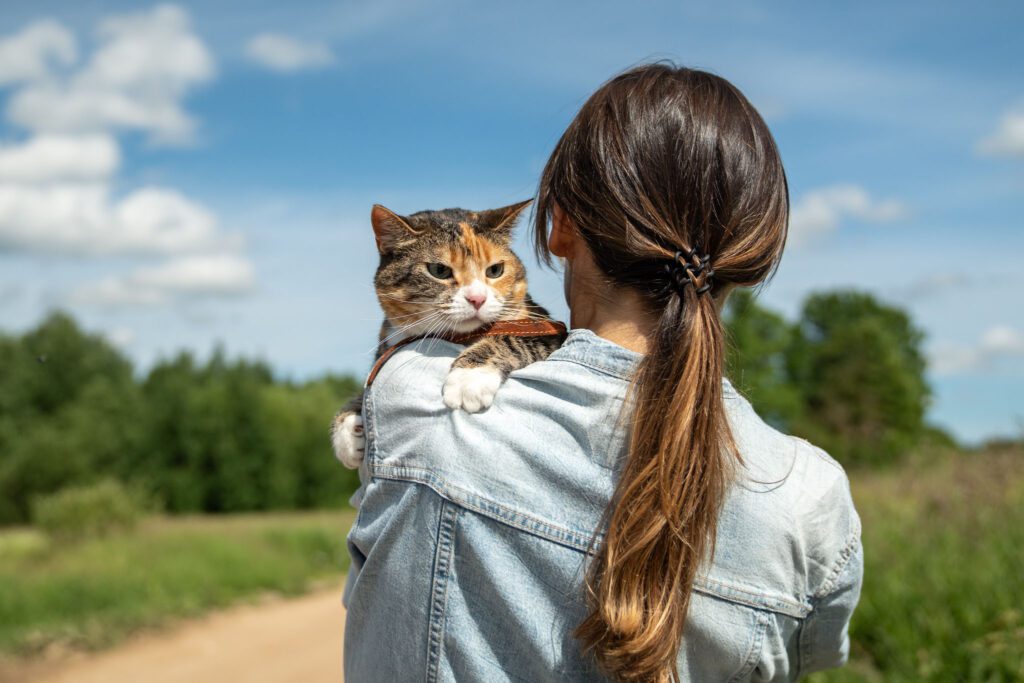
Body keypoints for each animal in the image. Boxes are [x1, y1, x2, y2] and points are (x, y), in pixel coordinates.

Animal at [331, 200, 565, 466]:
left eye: (495, 270)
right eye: (439, 270)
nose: (477, 298)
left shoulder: (546, 328)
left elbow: (510, 337)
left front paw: (469, 379)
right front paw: (348, 432)